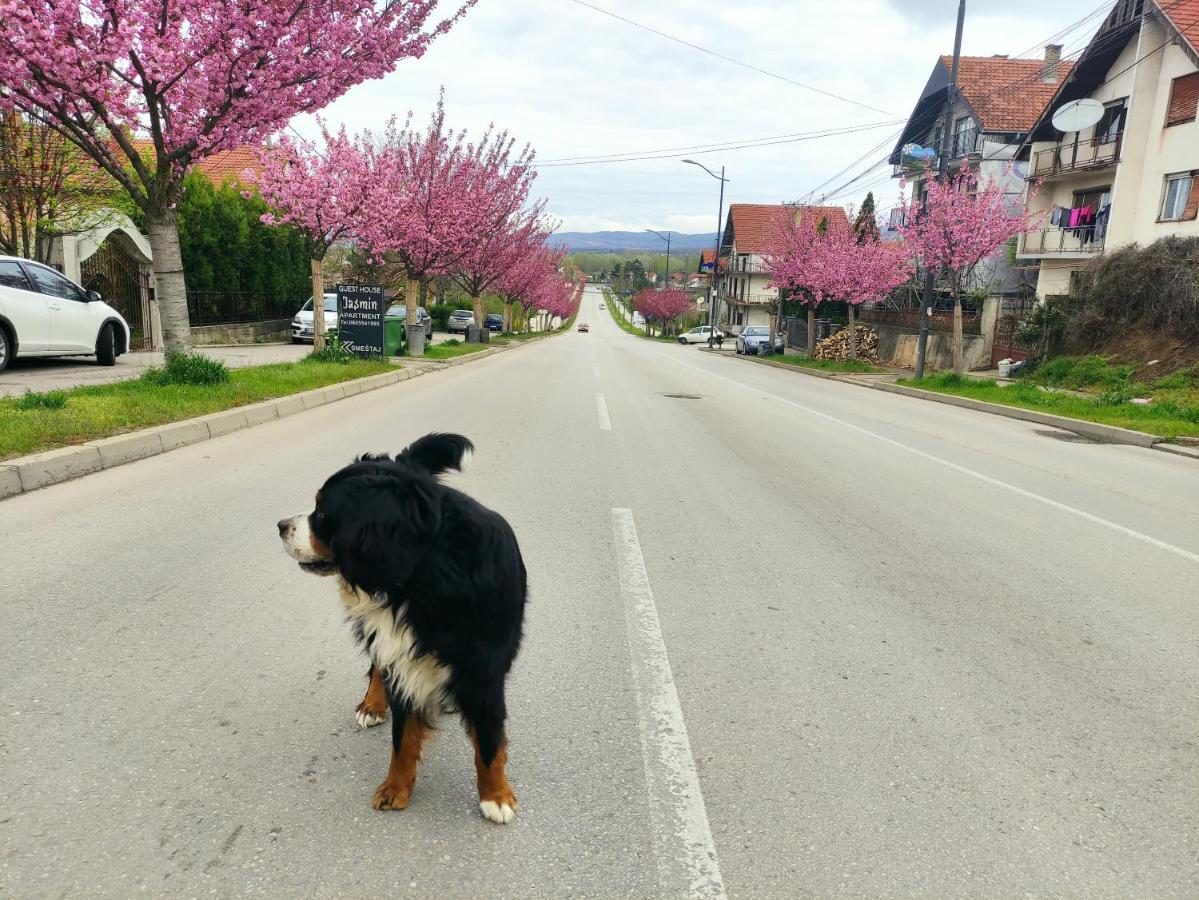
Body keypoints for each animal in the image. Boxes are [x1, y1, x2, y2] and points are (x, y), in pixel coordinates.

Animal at [280, 433, 529, 824]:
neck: (414, 583)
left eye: (321, 514)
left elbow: (489, 742)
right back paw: (372, 704)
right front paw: (395, 787)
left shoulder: (484, 670)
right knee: (375, 668)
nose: (280, 526)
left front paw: (496, 797)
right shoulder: (401, 660)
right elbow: (402, 738)